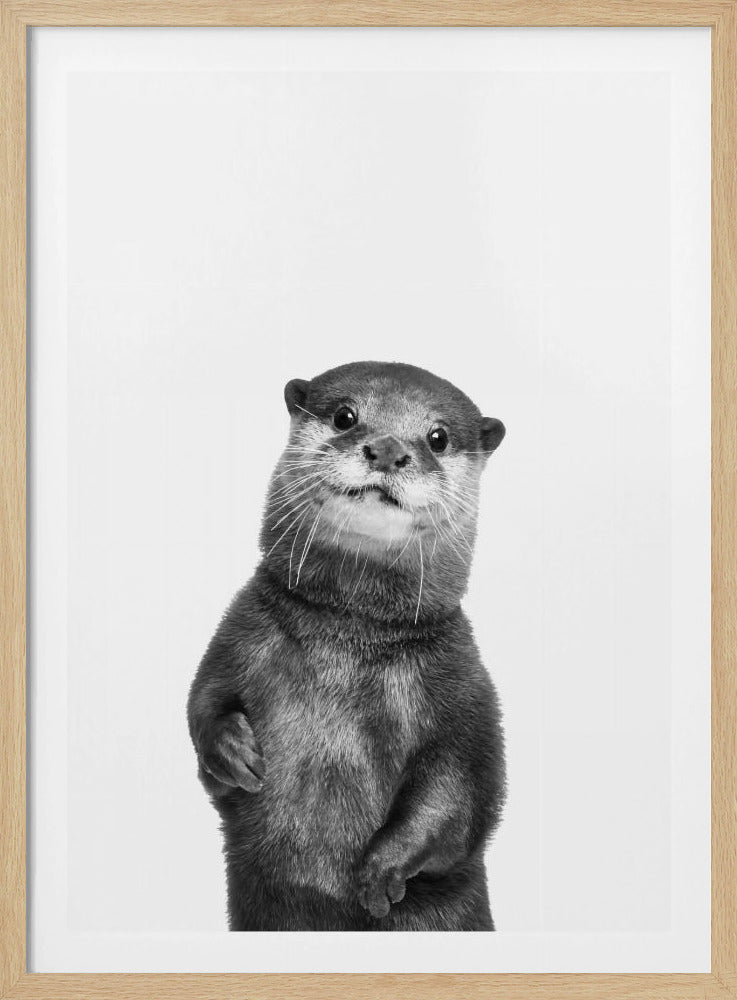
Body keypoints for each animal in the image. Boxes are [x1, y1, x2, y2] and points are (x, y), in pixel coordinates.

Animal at [187, 361, 506, 931]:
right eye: (344, 416)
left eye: (438, 437)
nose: (387, 450)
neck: (348, 638)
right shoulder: (239, 634)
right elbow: (202, 701)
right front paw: (232, 751)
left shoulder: (463, 686)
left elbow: (460, 789)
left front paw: (382, 869)